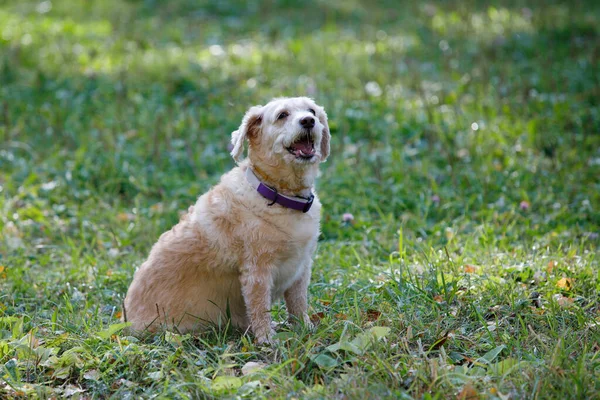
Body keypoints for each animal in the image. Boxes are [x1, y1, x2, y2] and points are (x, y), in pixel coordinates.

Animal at [121, 97, 328, 344]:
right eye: (282, 115)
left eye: (312, 111)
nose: (308, 121)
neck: (278, 195)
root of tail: (126, 324)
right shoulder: (257, 273)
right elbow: (260, 308)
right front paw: (267, 339)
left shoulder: (301, 268)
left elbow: (298, 304)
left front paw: (304, 328)